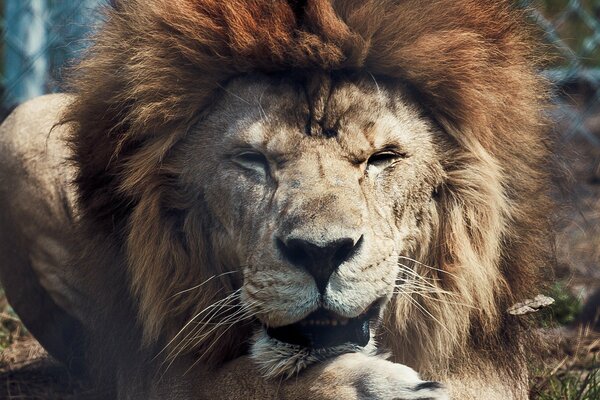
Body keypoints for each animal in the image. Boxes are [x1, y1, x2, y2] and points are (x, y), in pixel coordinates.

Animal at [0, 0, 552, 400]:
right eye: (252, 159)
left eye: (382, 158)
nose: (321, 253)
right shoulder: (150, 371)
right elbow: (239, 380)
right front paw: (371, 387)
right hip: (20, 123)